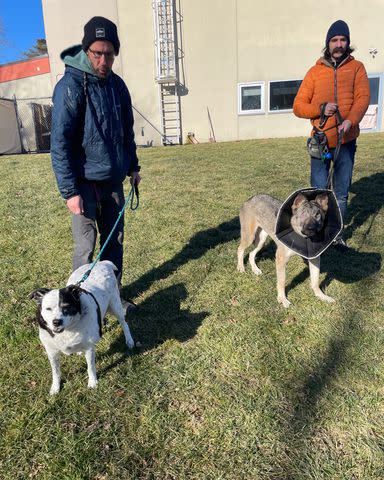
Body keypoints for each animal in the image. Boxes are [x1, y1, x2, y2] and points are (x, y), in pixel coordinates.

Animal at [28, 260, 134, 396]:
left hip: (115, 306)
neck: (68, 329)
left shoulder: (89, 348)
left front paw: (92, 383)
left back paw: (129, 341)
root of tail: (102, 263)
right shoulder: (52, 352)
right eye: (48, 309)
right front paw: (55, 388)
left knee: (124, 323)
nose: (56, 322)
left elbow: (90, 367)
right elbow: (55, 372)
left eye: (66, 307)